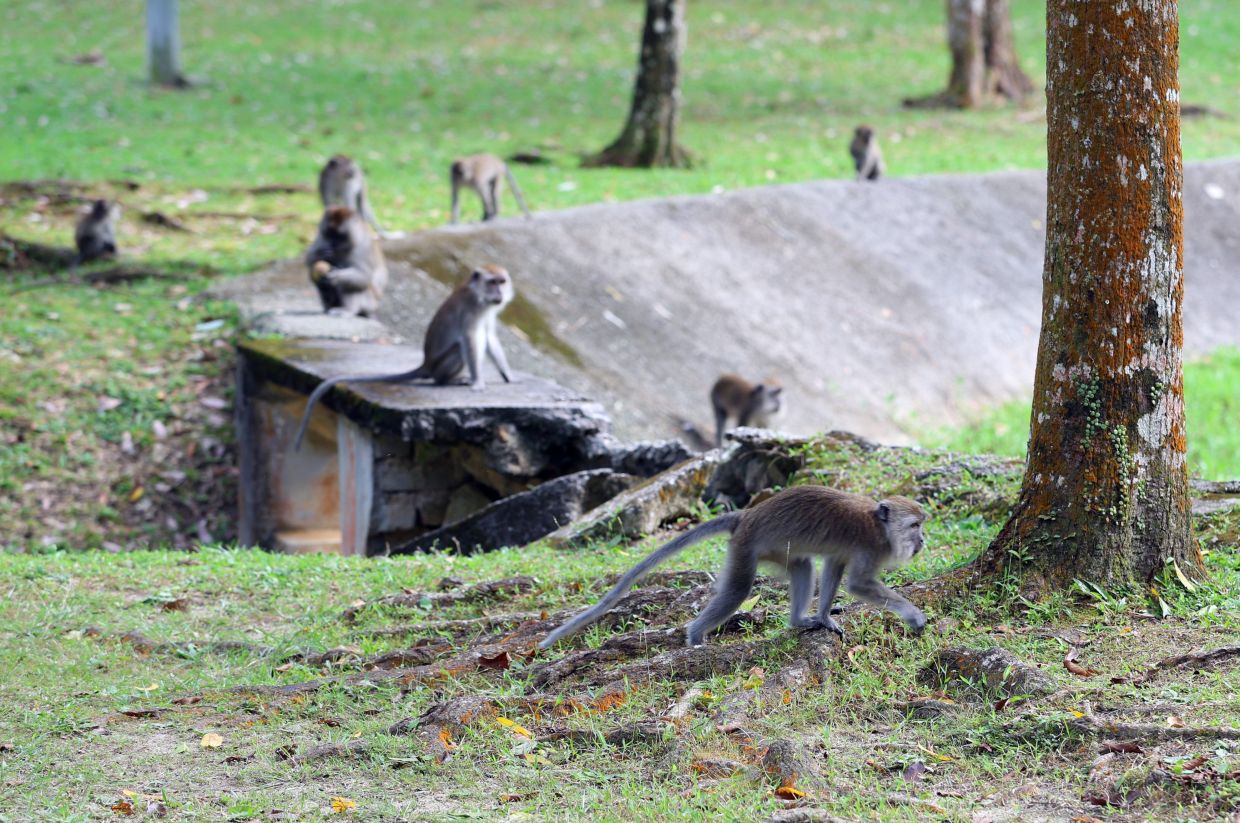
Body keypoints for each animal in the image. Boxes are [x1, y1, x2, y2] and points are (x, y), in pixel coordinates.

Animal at [292, 264, 515, 450]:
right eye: (492, 282)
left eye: (502, 281)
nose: (499, 294)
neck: (480, 297)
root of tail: (426, 364)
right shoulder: (471, 310)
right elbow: (470, 339)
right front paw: (478, 381)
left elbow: (490, 337)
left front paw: (508, 375)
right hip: (440, 365)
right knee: (458, 349)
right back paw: (448, 380)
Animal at [539, 485, 928, 649]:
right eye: (915, 526)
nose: (923, 541)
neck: (880, 525)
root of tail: (747, 515)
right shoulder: (871, 546)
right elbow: (859, 584)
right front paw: (913, 615)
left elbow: (834, 566)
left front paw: (823, 617)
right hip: (745, 547)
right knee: (738, 590)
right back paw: (695, 637)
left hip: (772, 548)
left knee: (802, 567)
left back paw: (799, 621)